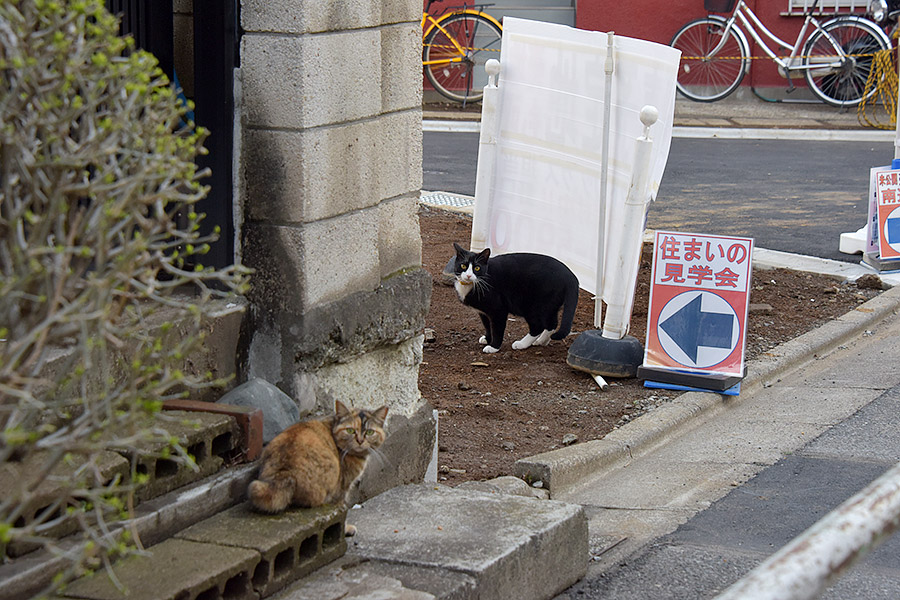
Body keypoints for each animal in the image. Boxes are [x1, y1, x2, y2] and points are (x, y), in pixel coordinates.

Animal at [448, 243, 576, 354]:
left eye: (477, 268)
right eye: (463, 265)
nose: (469, 275)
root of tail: (570, 275)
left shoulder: (498, 310)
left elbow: (497, 329)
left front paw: (493, 347)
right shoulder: (483, 312)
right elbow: (487, 325)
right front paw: (487, 338)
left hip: (533, 306)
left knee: (538, 326)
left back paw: (521, 344)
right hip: (550, 305)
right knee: (552, 323)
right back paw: (541, 341)